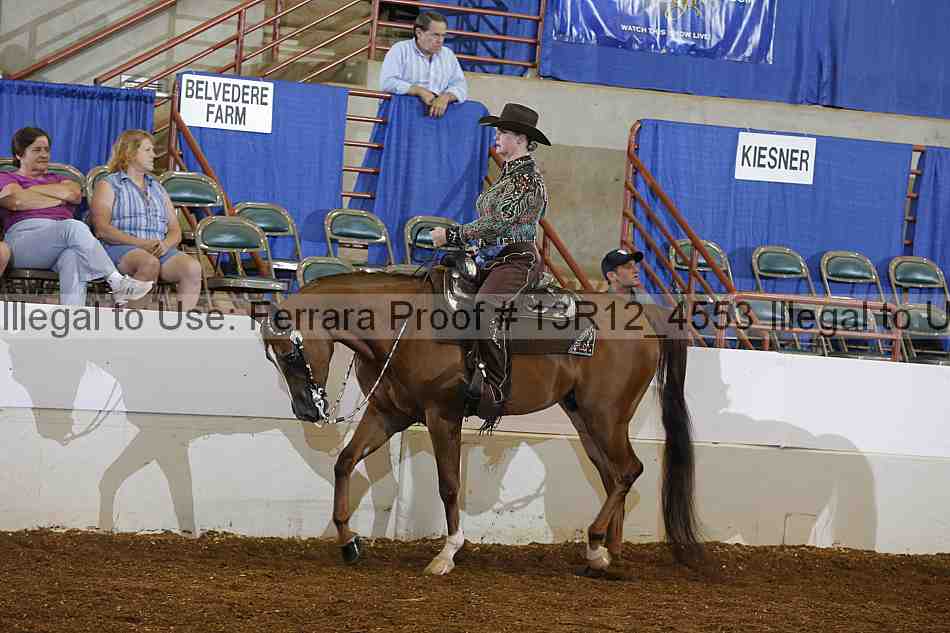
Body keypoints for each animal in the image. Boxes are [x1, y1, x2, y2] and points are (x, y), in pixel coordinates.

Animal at [258, 269, 701, 575]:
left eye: (291, 353)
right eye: (273, 357)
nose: (306, 411)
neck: (403, 327)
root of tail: (644, 316)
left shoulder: (442, 416)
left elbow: (449, 485)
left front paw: (447, 553)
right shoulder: (387, 414)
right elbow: (345, 462)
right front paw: (349, 542)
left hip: (606, 416)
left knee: (629, 470)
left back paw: (595, 546)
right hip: (585, 419)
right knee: (613, 478)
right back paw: (607, 557)